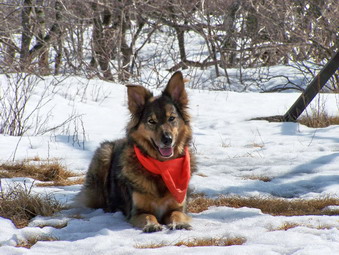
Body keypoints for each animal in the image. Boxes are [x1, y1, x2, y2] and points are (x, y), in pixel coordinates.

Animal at [77, 71, 197, 233]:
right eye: (151, 121)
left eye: (171, 118)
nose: (167, 140)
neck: (162, 169)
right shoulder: (137, 211)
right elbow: (148, 215)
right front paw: (152, 225)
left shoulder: (178, 206)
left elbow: (176, 214)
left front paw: (180, 223)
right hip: (104, 154)